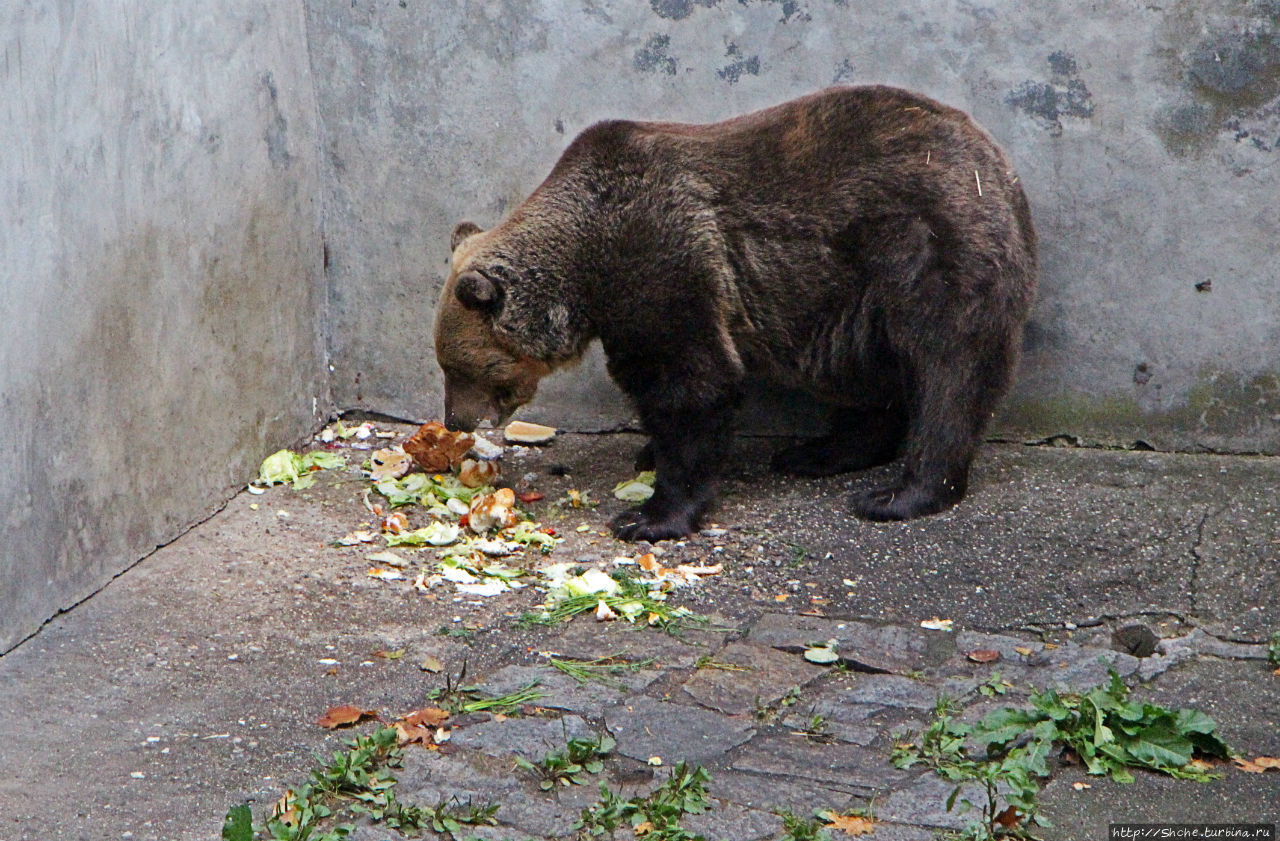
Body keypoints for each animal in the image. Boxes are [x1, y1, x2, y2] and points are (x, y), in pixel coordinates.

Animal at [435, 85, 1034, 540]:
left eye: (460, 369)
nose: (455, 420)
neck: (588, 265)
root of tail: (999, 164)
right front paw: (647, 455)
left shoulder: (663, 260)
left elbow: (692, 383)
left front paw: (649, 515)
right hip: (847, 299)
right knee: (868, 374)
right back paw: (817, 452)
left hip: (928, 246)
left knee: (950, 372)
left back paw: (901, 492)